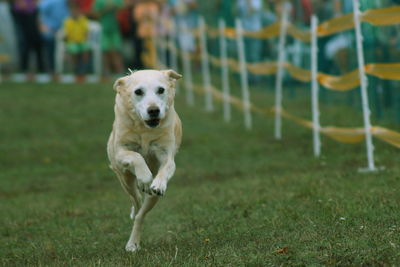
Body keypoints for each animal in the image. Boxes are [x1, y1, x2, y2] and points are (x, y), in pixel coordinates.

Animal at [106, 69, 181, 253]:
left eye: (161, 90)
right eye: (138, 91)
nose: (153, 110)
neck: (144, 129)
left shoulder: (166, 154)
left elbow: (166, 167)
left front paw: (157, 184)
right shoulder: (120, 152)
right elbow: (137, 156)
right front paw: (145, 179)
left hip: (152, 199)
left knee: (141, 215)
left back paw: (133, 243)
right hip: (124, 179)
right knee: (136, 199)